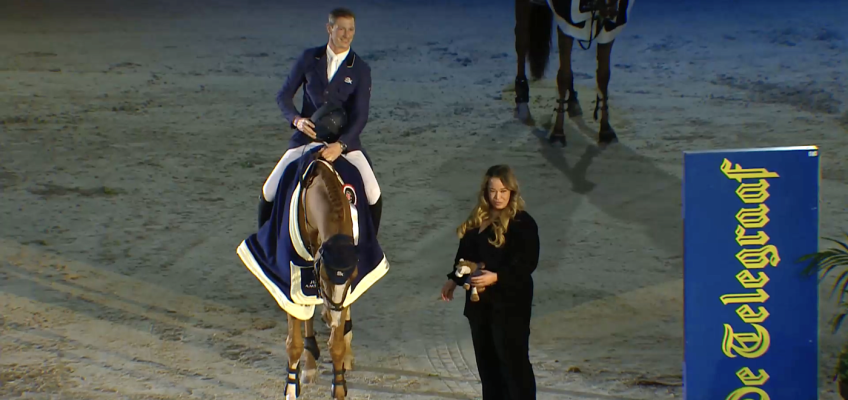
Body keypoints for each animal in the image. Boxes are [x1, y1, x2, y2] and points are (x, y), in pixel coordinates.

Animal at [512, 0, 632, 147]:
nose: (610, 11)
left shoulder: (609, 28)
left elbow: (603, 76)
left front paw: (606, 130)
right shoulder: (566, 22)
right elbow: (564, 75)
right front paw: (558, 133)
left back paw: (573, 100)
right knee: (521, 40)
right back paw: (522, 99)